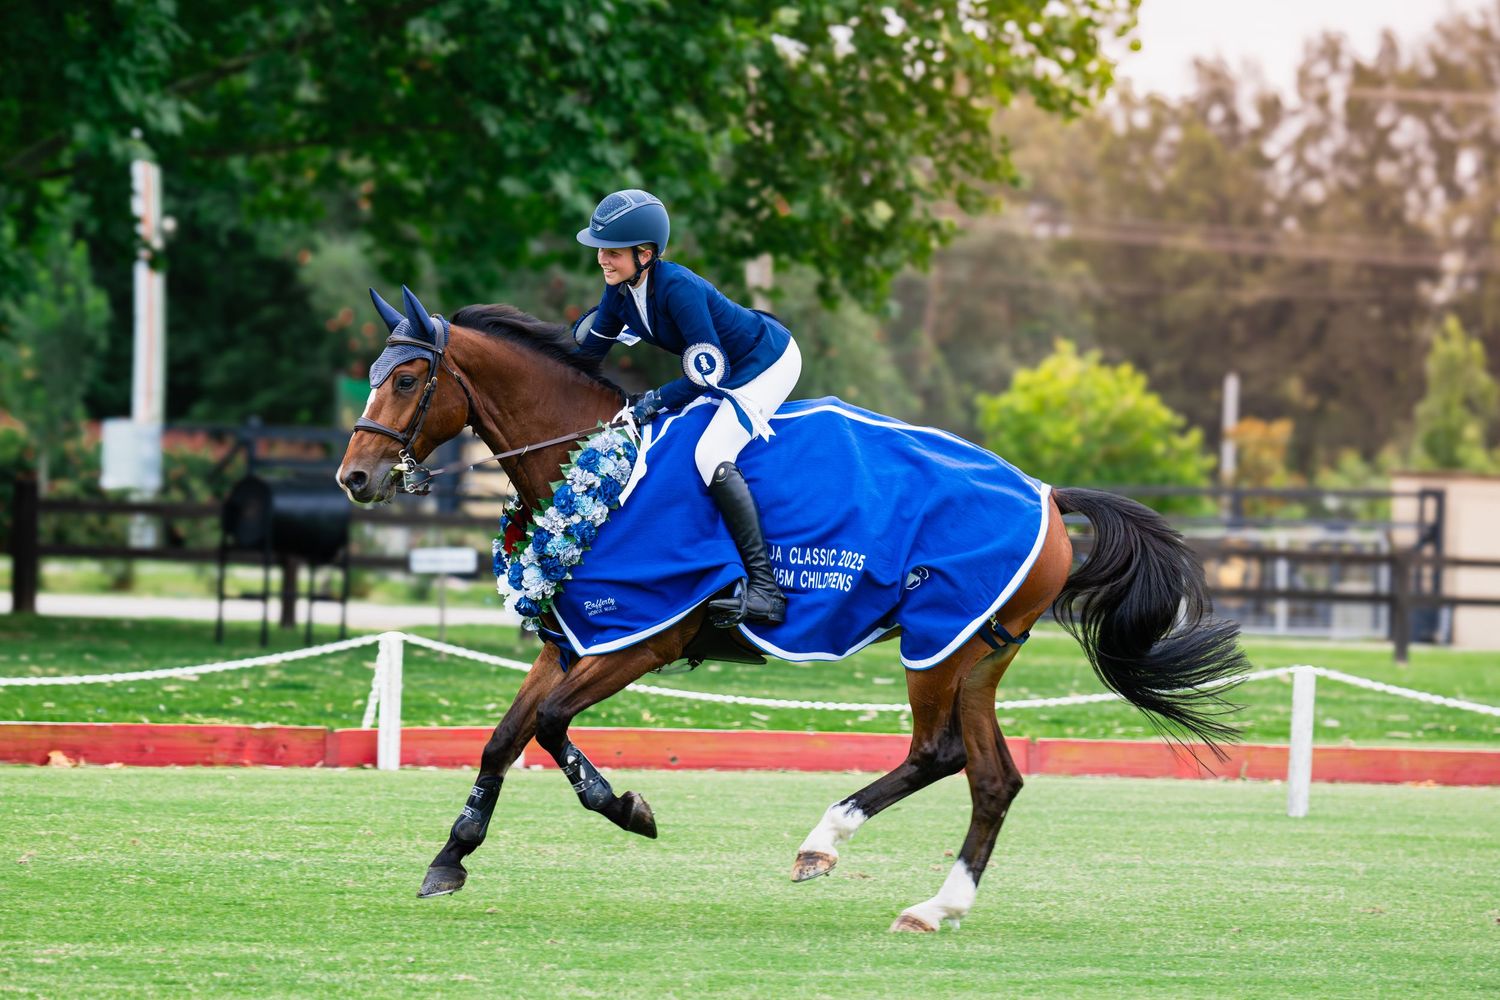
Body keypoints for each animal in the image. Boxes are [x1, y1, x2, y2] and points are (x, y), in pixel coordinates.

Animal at [337, 286, 1247, 933]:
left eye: (408, 379)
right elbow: (505, 737)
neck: (596, 468)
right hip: (982, 652)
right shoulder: (571, 643)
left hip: (939, 645)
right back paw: (931, 902)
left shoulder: (639, 642)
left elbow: (553, 726)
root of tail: (1048, 493)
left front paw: (629, 809)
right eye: (375, 375)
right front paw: (451, 858)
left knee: (942, 751)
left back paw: (836, 847)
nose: (354, 478)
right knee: (989, 776)